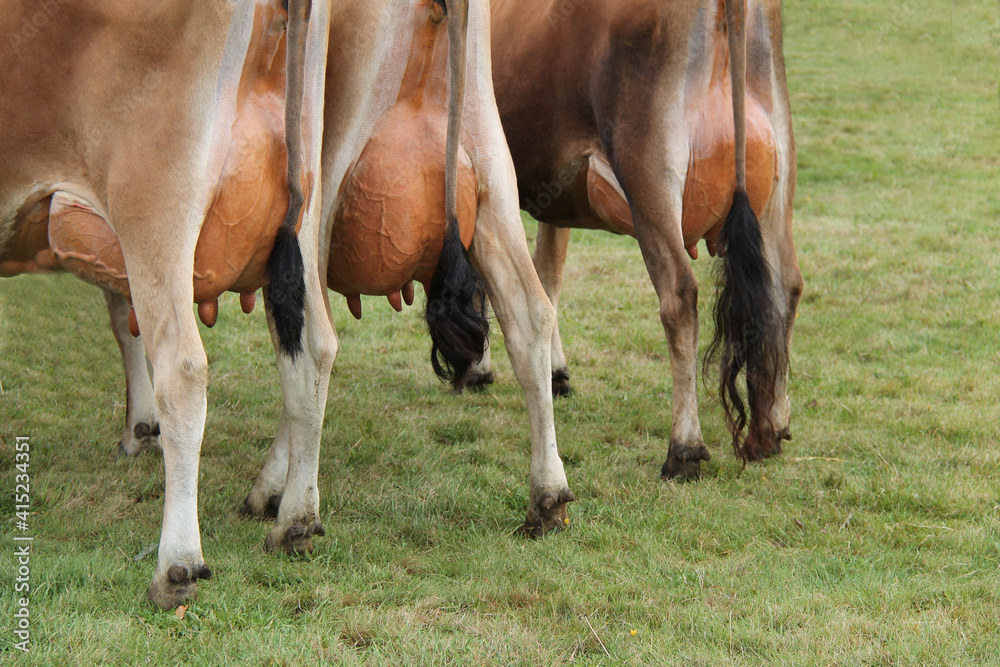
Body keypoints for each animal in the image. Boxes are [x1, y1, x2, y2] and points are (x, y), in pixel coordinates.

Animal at [0, 0, 336, 608]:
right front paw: (138, 430)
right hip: (303, 207)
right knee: (313, 349)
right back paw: (294, 522)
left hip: (153, 204)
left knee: (183, 368)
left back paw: (176, 565)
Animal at [468, 0, 803, 479]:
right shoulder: (556, 194)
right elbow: (549, 274)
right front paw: (556, 372)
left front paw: (477, 370)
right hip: (779, 173)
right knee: (786, 286)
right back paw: (771, 427)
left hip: (648, 170)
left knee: (679, 296)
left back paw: (684, 449)